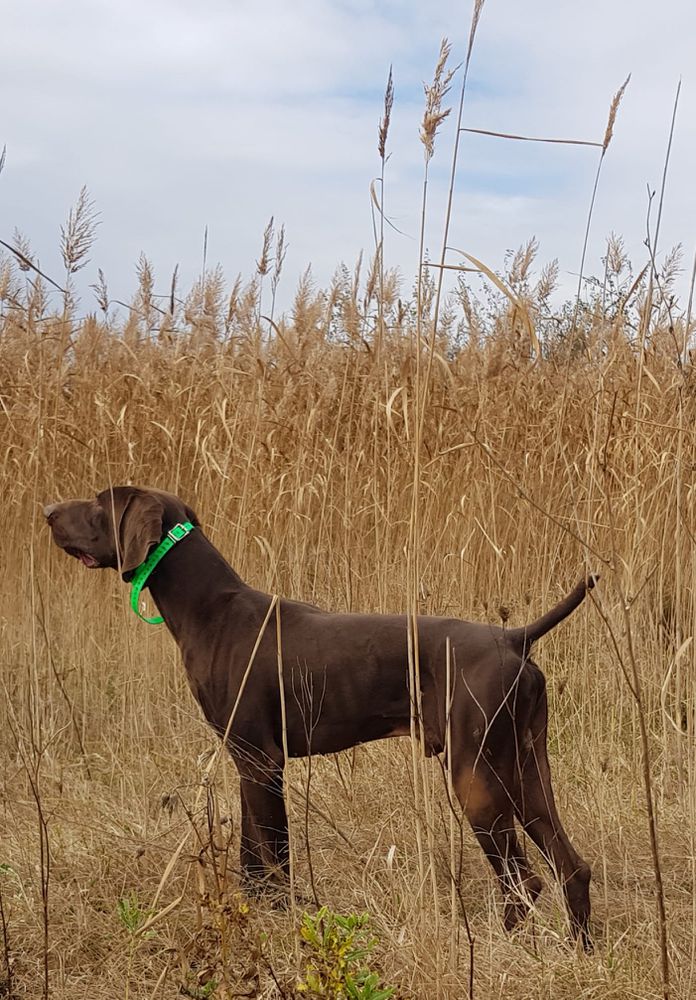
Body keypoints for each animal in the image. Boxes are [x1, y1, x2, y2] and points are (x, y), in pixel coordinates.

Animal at [46, 484, 596, 944]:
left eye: (99, 503)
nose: (48, 512)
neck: (211, 609)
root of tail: (514, 638)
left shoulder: (261, 761)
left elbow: (274, 855)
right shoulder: (249, 762)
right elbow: (253, 855)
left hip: (477, 777)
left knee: (524, 882)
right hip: (525, 768)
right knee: (572, 867)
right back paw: (579, 948)